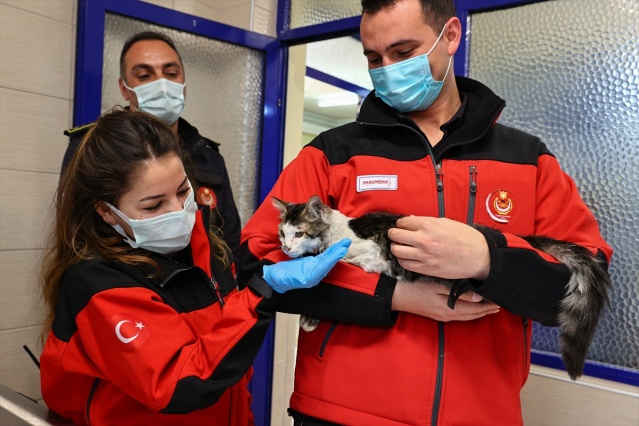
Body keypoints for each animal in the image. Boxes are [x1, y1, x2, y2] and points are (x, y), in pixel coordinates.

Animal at [272, 196, 612, 380]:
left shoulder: (373, 253)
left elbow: (345, 265)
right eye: (281, 234)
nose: (286, 249)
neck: (339, 231)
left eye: (299, 233)